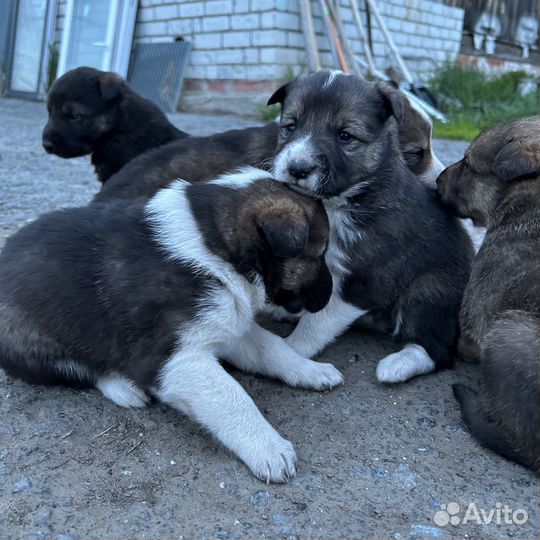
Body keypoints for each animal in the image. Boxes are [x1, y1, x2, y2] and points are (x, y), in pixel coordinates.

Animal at [0, 168, 344, 480]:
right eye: (320, 254)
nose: (333, 296)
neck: (215, 247)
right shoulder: (176, 357)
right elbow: (232, 397)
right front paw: (269, 449)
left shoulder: (227, 325)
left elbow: (272, 349)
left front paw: (311, 370)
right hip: (29, 342)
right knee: (82, 369)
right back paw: (125, 388)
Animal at [266, 71, 472, 382]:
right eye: (290, 127)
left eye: (345, 135)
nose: (297, 169)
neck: (340, 201)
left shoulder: (363, 279)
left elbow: (317, 323)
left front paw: (291, 350)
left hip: (430, 289)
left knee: (435, 348)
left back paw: (398, 365)